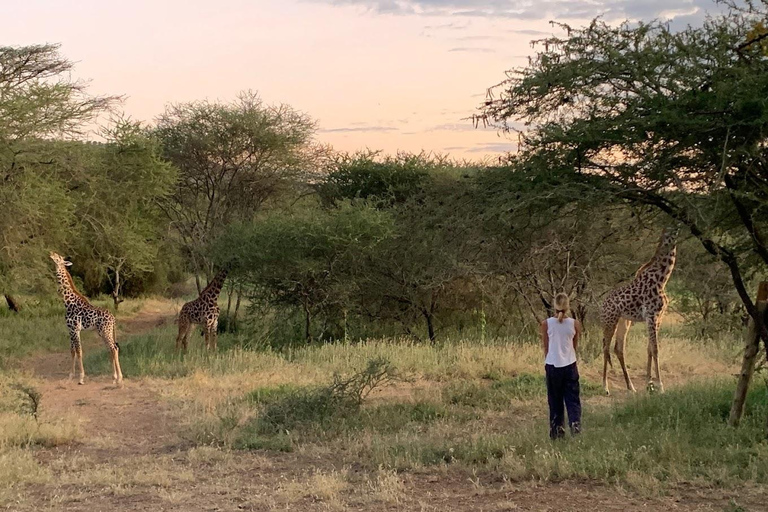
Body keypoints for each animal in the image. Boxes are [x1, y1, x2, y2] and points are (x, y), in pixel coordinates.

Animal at [48, 252, 122, 384]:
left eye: (58, 257)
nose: (50, 253)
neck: (67, 301)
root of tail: (113, 319)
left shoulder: (75, 329)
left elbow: (79, 351)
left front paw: (81, 377)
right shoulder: (70, 329)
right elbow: (72, 351)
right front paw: (70, 376)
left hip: (105, 332)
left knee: (113, 348)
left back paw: (118, 378)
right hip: (104, 332)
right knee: (112, 349)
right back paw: (115, 377)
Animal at [600, 229, 680, 396]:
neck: (662, 279)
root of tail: (602, 305)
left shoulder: (659, 317)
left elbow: (649, 348)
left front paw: (649, 384)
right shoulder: (651, 315)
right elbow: (655, 349)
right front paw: (660, 386)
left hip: (624, 322)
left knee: (618, 348)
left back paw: (630, 386)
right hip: (610, 321)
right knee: (606, 348)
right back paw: (605, 387)